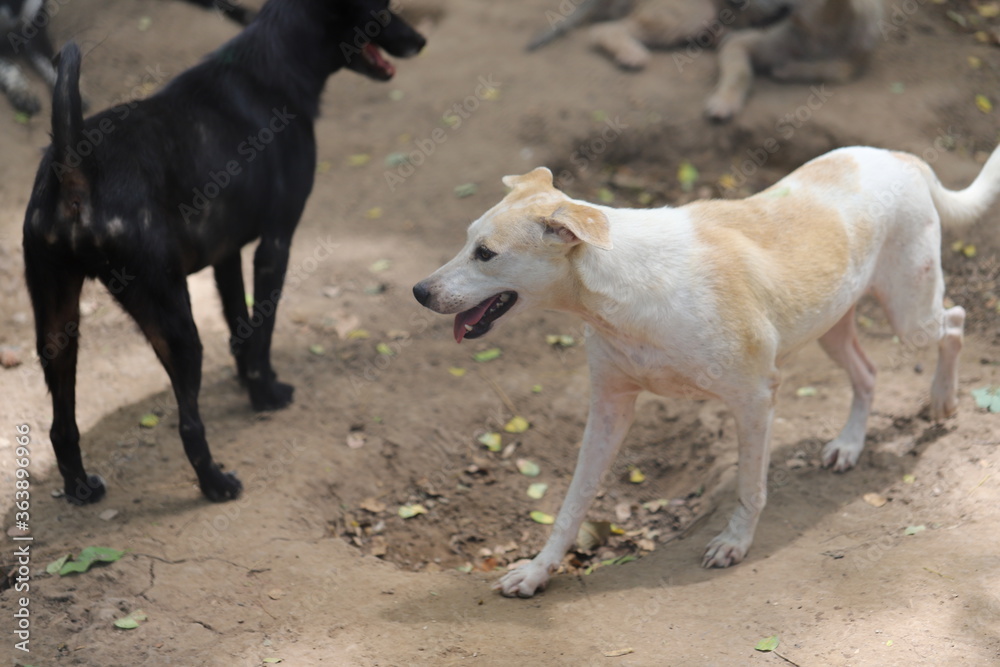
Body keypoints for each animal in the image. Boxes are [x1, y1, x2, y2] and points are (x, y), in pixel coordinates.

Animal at [22, 0, 425, 505]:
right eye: (383, 8)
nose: (420, 40)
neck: (270, 67)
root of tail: (73, 161)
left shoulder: (225, 255)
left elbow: (241, 328)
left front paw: (246, 381)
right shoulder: (275, 244)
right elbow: (263, 329)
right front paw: (265, 394)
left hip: (58, 331)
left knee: (62, 427)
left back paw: (80, 487)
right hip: (176, 328)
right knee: (189, 425)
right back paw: (215, 483)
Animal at [414, 145, 1000, 597]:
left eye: (486, 253)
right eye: (465, 240)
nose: (419, 291)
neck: (622, 285)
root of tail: (899, 156)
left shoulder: (755, 399)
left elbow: (748, 486)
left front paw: (736, 543)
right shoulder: (608, 409)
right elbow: (571, 504)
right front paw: (537, 573)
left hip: (910, 312)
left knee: (955, 322)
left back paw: (944, 400)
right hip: (834, 325)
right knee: (870, 372)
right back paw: (850, 444)